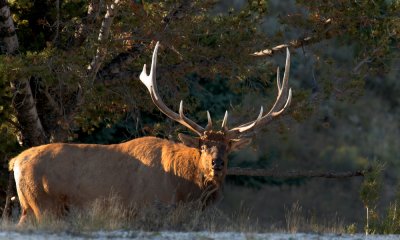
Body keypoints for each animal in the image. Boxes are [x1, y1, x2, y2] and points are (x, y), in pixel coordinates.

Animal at [8, 41, 290, 225]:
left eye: (228, 147)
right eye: (202, 146)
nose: (217, 163)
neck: (184, 189)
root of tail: (15, 161)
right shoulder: (147, 208)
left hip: (29, 207)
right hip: (43, 204)